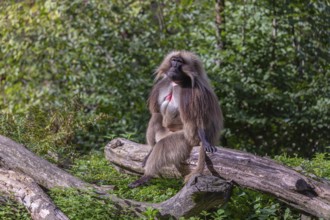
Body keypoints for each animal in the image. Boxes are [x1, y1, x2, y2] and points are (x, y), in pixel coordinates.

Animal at [127, 51, 223, 187]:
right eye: (173, 60)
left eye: (179, 62)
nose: (174, 66)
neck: (177, 83)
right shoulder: (163, 83)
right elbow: (156, 111)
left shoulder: (195, 92)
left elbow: (198, 120)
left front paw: (206, 142)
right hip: (163, 133)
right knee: (156, 116)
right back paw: (151, 149)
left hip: (187, 139)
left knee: (163, 144)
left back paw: (146, 176)